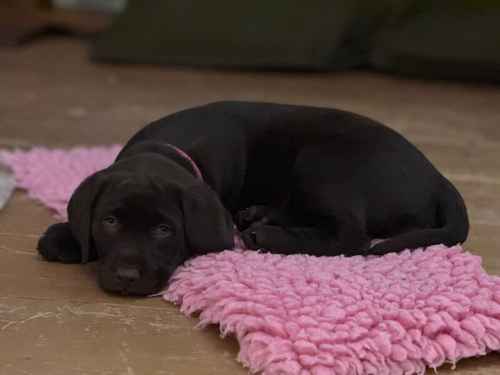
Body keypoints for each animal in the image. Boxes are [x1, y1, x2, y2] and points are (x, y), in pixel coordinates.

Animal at [36, 101, 468, 296]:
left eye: (164, 230)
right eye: (108, 222)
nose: (127, 277)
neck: (169, 149)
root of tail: (437, 177)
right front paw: (64, 236)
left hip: (322, 162)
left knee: (350, 235)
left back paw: (267, 234)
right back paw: (259, 216)